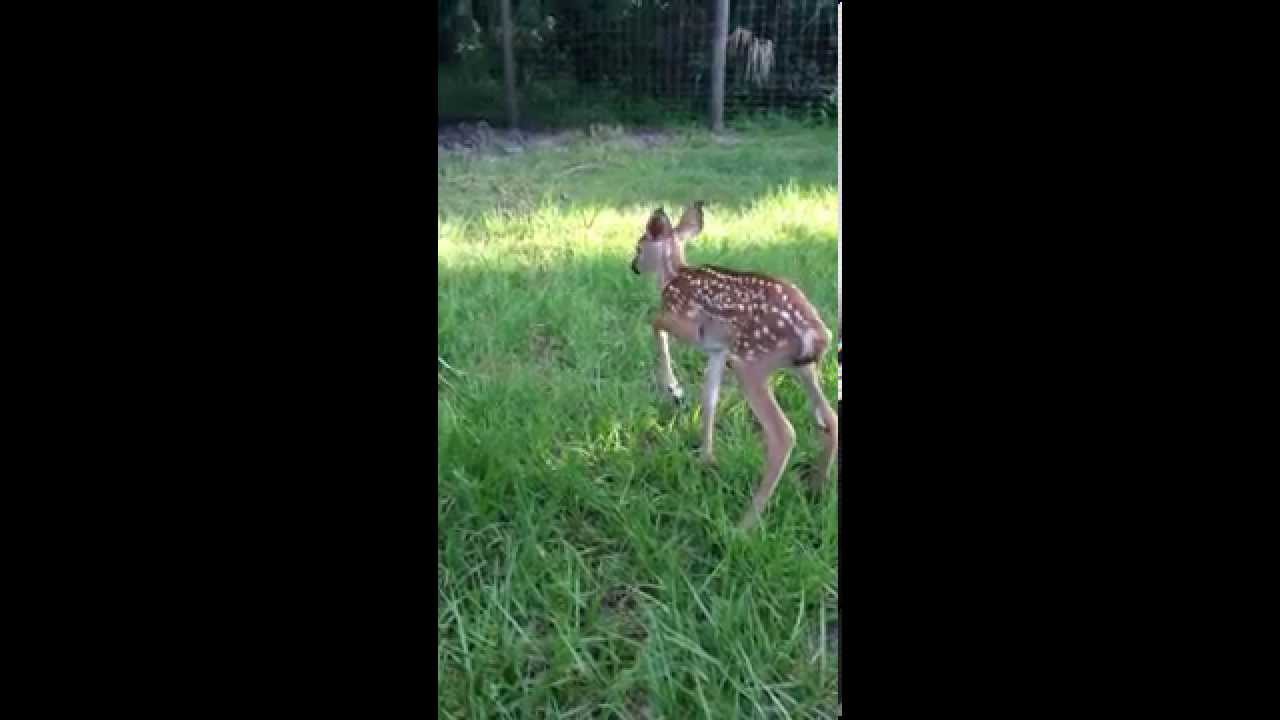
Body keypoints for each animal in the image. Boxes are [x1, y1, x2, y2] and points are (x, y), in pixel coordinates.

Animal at [630, 202, 838, 530]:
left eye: (639, 246)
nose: (633, 265)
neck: (673, 275)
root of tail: (816, 334)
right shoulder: (718, 350)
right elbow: (709, 399)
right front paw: (706, 459)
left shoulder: (687, 321)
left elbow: (654, 322)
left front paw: (673, 389)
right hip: (802, 368)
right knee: (830, 418)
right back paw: (816, 488)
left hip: (751, 363)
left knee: (783, 434)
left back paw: (745, 524)